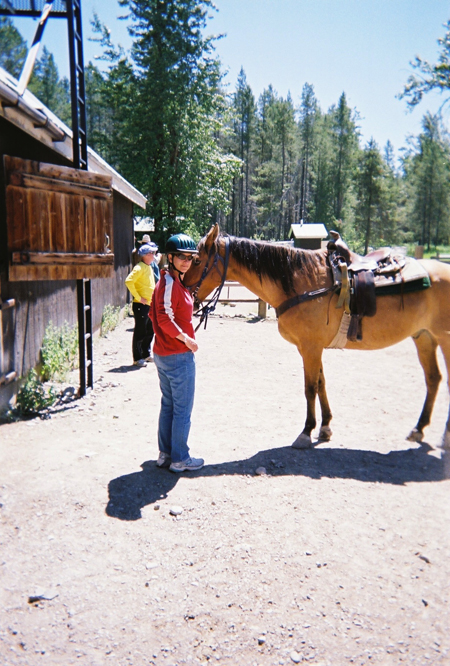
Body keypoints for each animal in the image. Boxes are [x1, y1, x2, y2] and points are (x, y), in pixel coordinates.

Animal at [183, 226, 450, 448]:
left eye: (196, 259)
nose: (185, 290)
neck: (300, 282)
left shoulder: (311, 347)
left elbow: (310, 387)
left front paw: (306, 431)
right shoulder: (312, 347)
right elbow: (321, 384)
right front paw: (325, 427)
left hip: (443, 339)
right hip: (424, 337)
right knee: (433, 379)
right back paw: (418, 429)